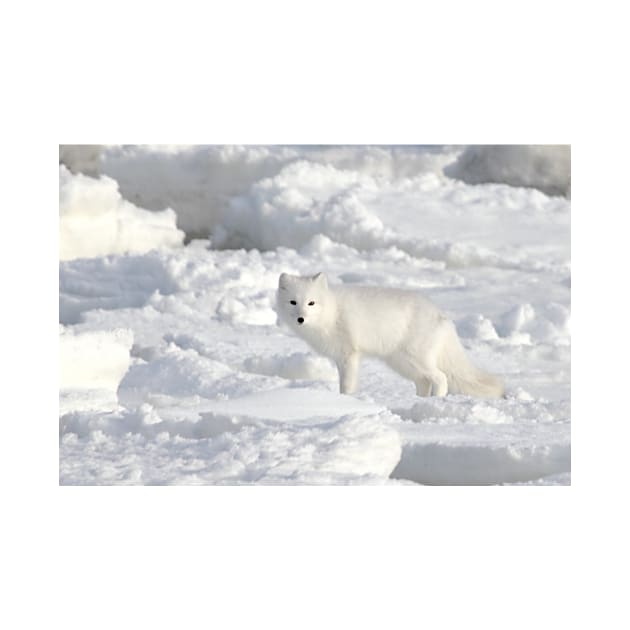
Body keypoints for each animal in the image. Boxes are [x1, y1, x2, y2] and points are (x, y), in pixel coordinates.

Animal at [278, 272, 506, 400]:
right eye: (293, 302)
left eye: (311, 303)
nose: (301, 319)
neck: (331, 312)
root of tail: (442, 315)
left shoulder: (349, 355)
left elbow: (347, 385)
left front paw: (345, 402)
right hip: (402, 363)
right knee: (424, 382)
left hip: (415, 359)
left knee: (440, 378)